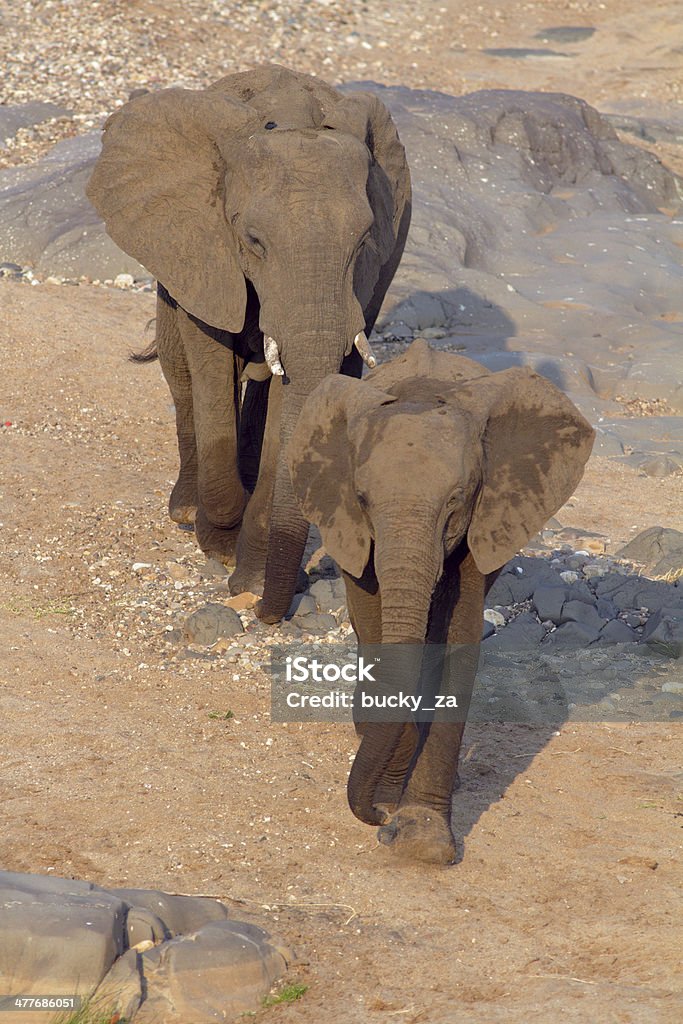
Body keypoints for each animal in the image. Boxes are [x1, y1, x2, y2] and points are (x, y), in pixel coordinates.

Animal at [87, 68, 411, 622]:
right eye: (254, 241)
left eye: (364, 240)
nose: (264, 614)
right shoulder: (203, 244)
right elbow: (209, 361)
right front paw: (217, 539)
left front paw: (251, 576)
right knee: (180, 378)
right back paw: (186, 510)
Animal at [288, 337, 593, 864]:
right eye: (363, 499)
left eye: (456, 499)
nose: (378, 818)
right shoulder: (347, 521)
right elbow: (377, 626)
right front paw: (393, 800)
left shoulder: (484, 516)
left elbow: (456, 639)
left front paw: (421, 841)